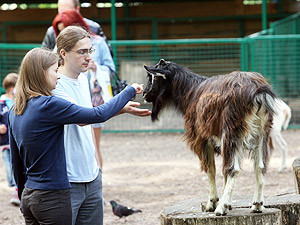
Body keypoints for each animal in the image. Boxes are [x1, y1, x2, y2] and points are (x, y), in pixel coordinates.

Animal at [142, 59, 276, 215]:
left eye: (153, 77)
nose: (144, 94)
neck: (191, 92)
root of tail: (258, 92)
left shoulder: (202, 139)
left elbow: (211, 169)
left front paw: (212, 203)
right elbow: (222, 170)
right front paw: (227, 203)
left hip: (232, 131)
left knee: (233, 169)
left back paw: (221, 208)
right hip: (261, 132)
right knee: (259, 166)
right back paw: (257, 205)